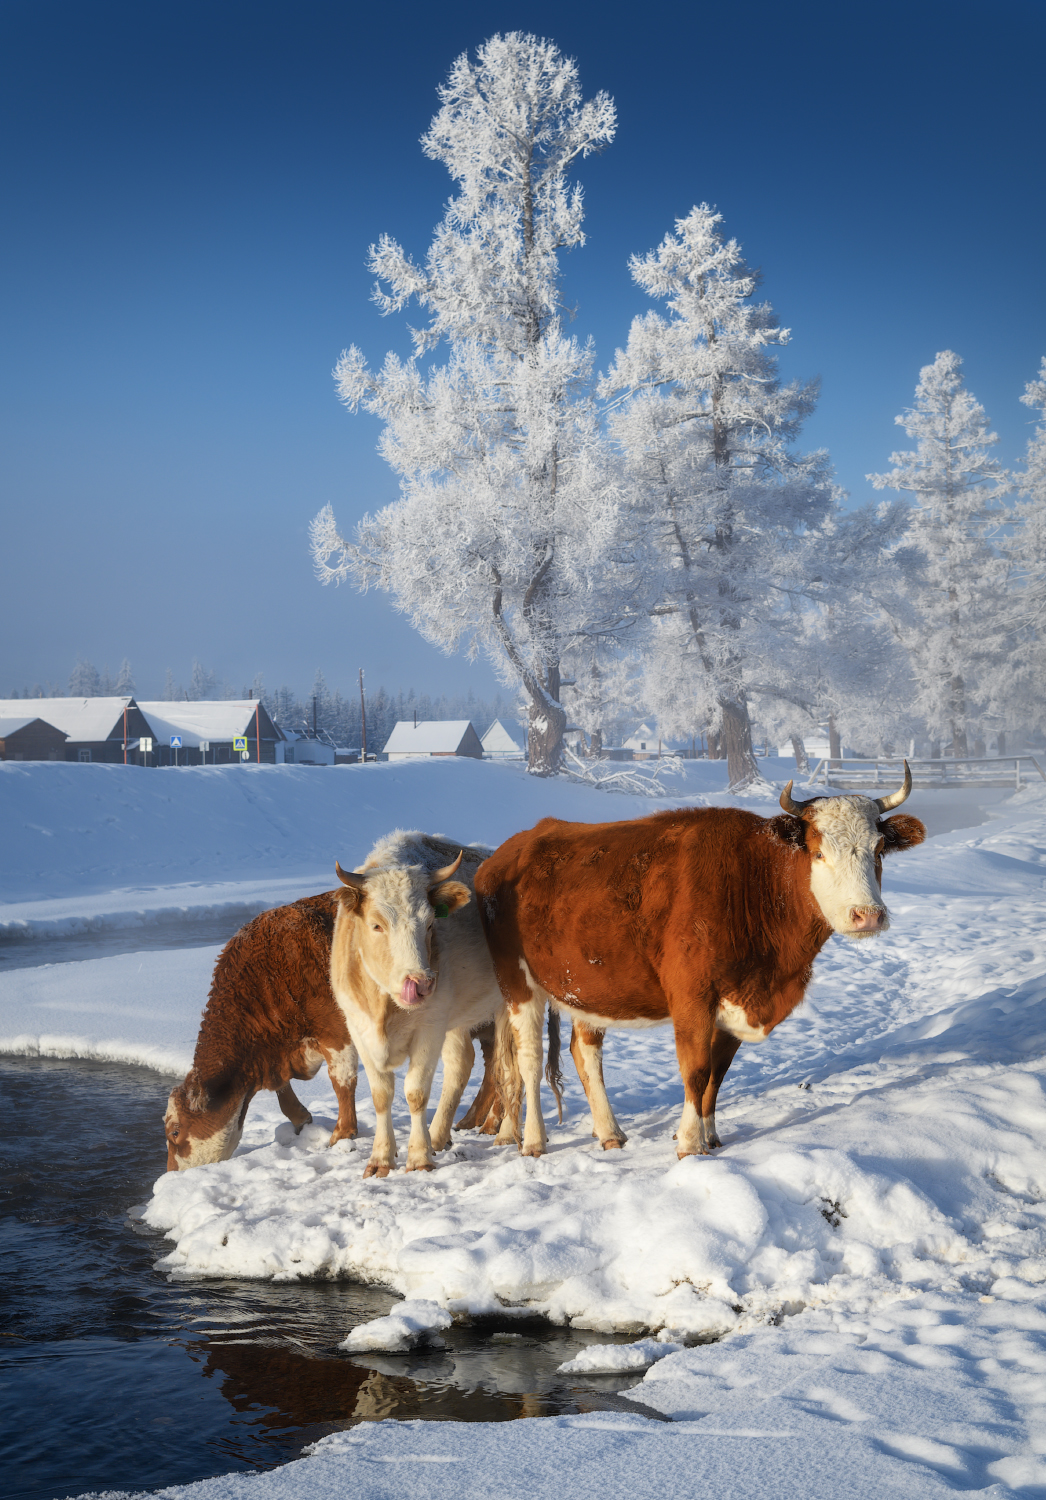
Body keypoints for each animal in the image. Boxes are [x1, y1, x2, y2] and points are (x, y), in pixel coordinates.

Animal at [330, 828, 513, 1176]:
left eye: (430, 924)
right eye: (377, 925)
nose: (422, 983)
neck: (384, 1007)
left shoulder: (430, 1028)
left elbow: (415, 1093)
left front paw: (418, 1158)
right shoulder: (358, 1029)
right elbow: (381, 1095)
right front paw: (381, 1158)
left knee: (512, 1064)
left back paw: (506, 1133)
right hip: (457, 1018)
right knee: (461, 1064)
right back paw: (439, 1136)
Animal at [474, 762, 924, 1158]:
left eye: (879, 849)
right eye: (817, 852)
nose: (867, 915)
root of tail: (511, 849)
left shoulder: (735, 1000)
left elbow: (717, 1074)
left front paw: (710, 1136)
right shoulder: (692, 995)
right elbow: (696, 1069)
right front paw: (690, 1144)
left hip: (586, 984)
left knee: (585, 1052)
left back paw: (610, 1133)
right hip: (517, 982)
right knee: (529, 1061)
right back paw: (534, 1141)